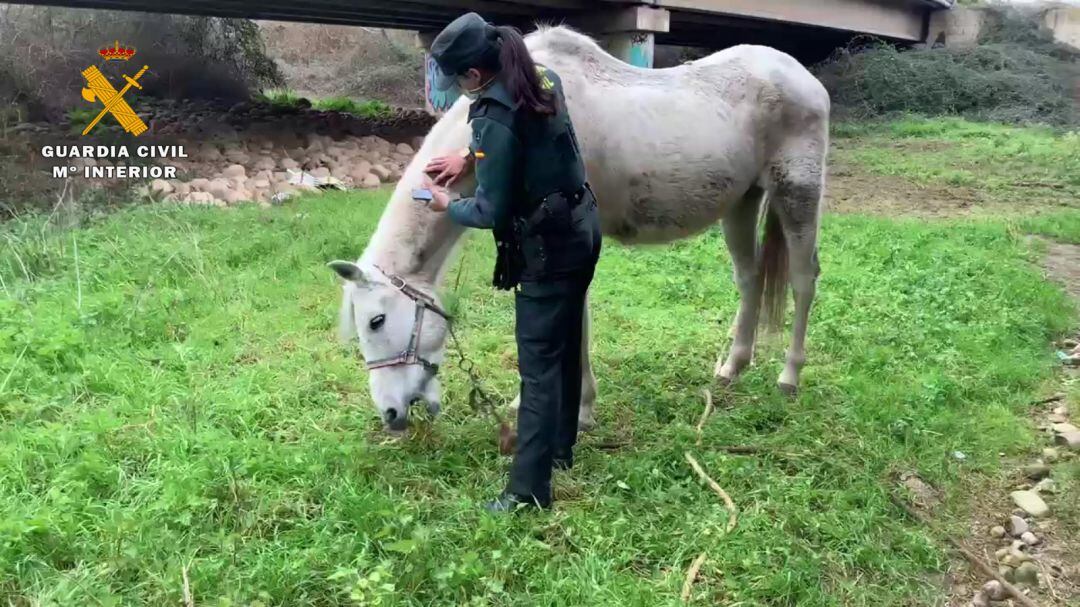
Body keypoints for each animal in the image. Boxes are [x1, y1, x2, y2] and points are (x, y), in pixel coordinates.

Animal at [329, 25, 829, 432]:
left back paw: (789, 377)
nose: (390, 413)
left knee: (804, 280)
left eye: (376, 320)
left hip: (797, 196)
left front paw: (579, 410)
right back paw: (732, 368)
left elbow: (575, 321)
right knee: (749, 278)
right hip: (742, 203)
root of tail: (804, 78)